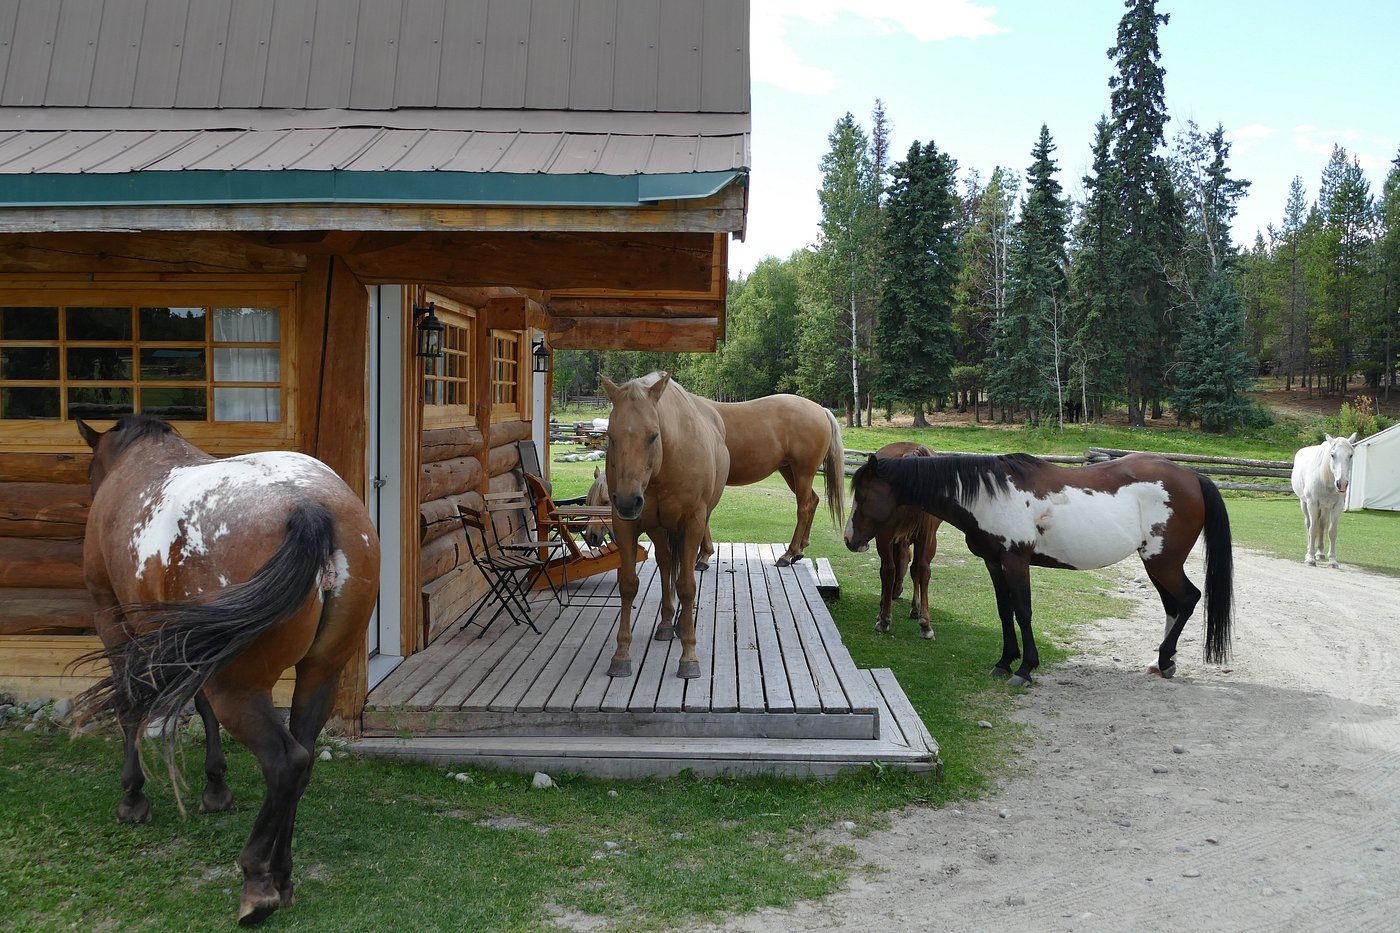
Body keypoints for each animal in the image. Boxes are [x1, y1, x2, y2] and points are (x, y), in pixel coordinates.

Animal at [70, 415, 379, 925]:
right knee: (303, 759)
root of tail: (307, 507)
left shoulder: (110, 620)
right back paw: (282, 874)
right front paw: (216, 787)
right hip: (319, 676)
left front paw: (133, 796)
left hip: (238, 686)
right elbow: (201, 710)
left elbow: (130, 708)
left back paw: (257, 880)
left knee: (284, 762)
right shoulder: (197, 647)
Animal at [601, 373, 729, 680]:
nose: (627, 501)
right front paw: (621, 654)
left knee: (681, 567)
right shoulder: (624, 525)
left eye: (653, 436)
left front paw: (689, 655)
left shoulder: (693, 522)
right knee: (667, 563)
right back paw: (668, 623)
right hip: (658, 529)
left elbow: (687, 586)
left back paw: (681, 624)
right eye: (610, 436)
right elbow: (628, 584)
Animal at [868, 443, 942, 640]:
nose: (895, 593)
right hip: (925, 535)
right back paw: (923, 624)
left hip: (890, 534)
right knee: (919, 569)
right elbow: (916, 569)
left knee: (890, 569)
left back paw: (886, 619)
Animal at [1291, 433, 1357, 568]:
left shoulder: (1337, 506)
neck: (1325, 479)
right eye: (1332, 455)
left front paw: (1332, 560)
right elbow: (1313, 529)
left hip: (1325, 507)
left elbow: (1332, 531)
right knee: (1309, 524)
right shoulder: (1312, 503)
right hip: (1304, 504)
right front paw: (1310, 558)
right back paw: (1309, 552)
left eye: (1350, 455)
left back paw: (1320, 552)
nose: (1341, 484)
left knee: (1322, 525)